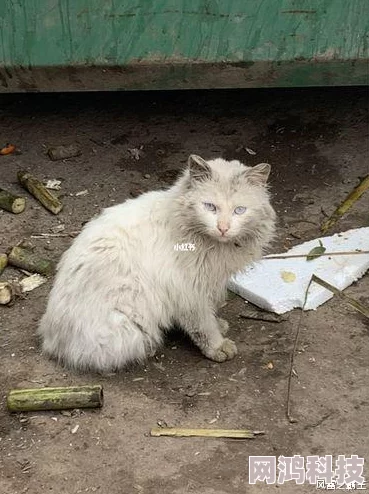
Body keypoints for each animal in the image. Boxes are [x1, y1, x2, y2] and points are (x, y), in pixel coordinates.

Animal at [38, 155, 276, 370]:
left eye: (239, 210)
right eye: (210, 207)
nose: (223, 228)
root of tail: (50, 340)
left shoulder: (205, 286)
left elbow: (210, 316)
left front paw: (220, 326)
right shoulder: (190, 293)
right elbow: (203, 327)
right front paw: (218, 347)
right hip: (130, 326)